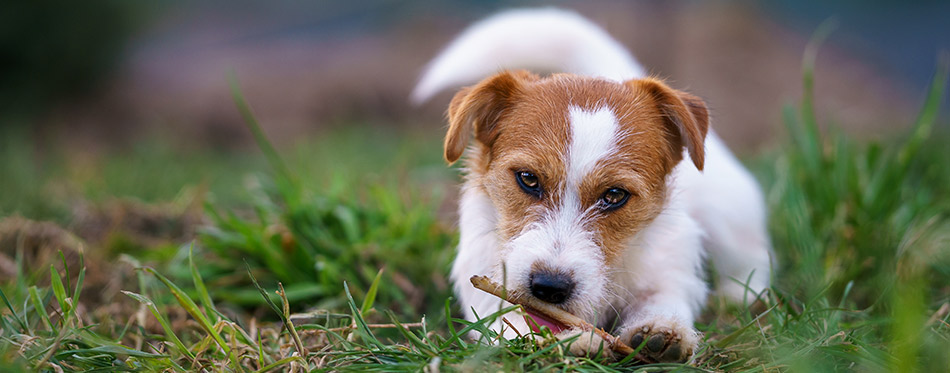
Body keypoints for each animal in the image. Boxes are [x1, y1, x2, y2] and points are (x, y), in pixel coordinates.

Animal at [412, 8, 776, 362]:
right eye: (528, 178)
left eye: (614, 195)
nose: (549, 287)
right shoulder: (485, 285)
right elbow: (512, 324)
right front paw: (569, 342)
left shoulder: (669, 267)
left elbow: (664, 297)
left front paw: (662, 330)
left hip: (730, 214)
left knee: (751, 257)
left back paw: (739, 294)